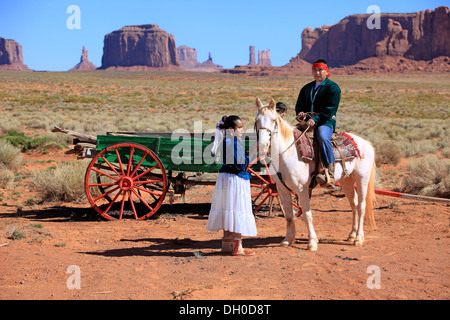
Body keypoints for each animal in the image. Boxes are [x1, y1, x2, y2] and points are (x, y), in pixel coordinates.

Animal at [253, 97, 376, 250]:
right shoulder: (282, 189)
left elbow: (307, 214)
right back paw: (352, 235)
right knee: (353, 205)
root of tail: (365, 143)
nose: (262, 145)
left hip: (362, 179)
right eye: (256, 120)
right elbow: (289, 215)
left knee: (361, 206)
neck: (287, 153)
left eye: (273, 120)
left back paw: (358, 238)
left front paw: (312, 242)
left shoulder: (301, 189)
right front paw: (288, 239)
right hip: (347, 181)